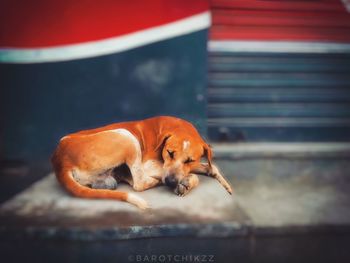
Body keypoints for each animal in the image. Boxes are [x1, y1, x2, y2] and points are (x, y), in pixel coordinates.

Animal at [51, 116, 232, 209]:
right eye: (170, 153)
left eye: (189, 160)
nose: (171, 182)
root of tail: (60, 160)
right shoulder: (150, 164)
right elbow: (195, 175)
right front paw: (187, 181)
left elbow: (209, 166)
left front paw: (224, 183)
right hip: (126, 136)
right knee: (138, 183)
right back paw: (156, 181)